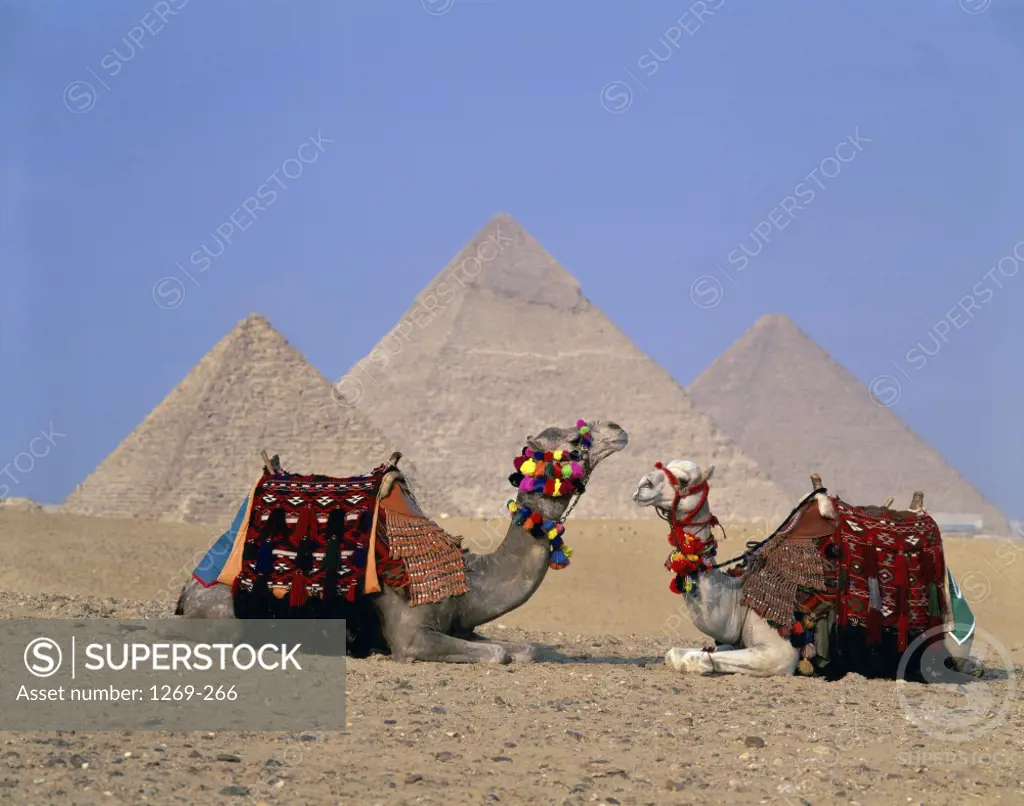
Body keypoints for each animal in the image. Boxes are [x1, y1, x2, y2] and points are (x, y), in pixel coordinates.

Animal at [174, 419, 622, 663]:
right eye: (576, 442)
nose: (619, 430)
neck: (470, 579)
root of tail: (186, 593)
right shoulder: (411, 635)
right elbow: (499, 654)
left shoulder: (464, 627)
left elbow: (524, 649)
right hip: (224, 613)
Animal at [626, 460, 978, 680]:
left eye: (685, 480)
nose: (642, 484)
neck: (738, 599)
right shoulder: (737, 639)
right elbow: (677, 654)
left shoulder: (779, 654)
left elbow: (697, 659)